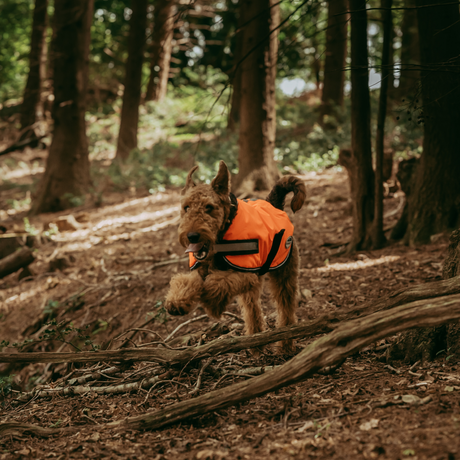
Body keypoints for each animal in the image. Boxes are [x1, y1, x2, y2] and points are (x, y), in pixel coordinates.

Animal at [164, 161, 306, 352]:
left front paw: (211, 302)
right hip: (254, 286)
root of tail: (273, 204)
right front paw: (177, 302)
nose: (192, 236)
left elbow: (216, 283)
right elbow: (186, 281)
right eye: (186, 207)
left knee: (286, 310)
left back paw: (285, 345)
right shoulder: (201, 269)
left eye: (209, 207)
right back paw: (255, 343)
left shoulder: (245, 274)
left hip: (284, 274)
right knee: (253, 310)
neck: (220, 238)